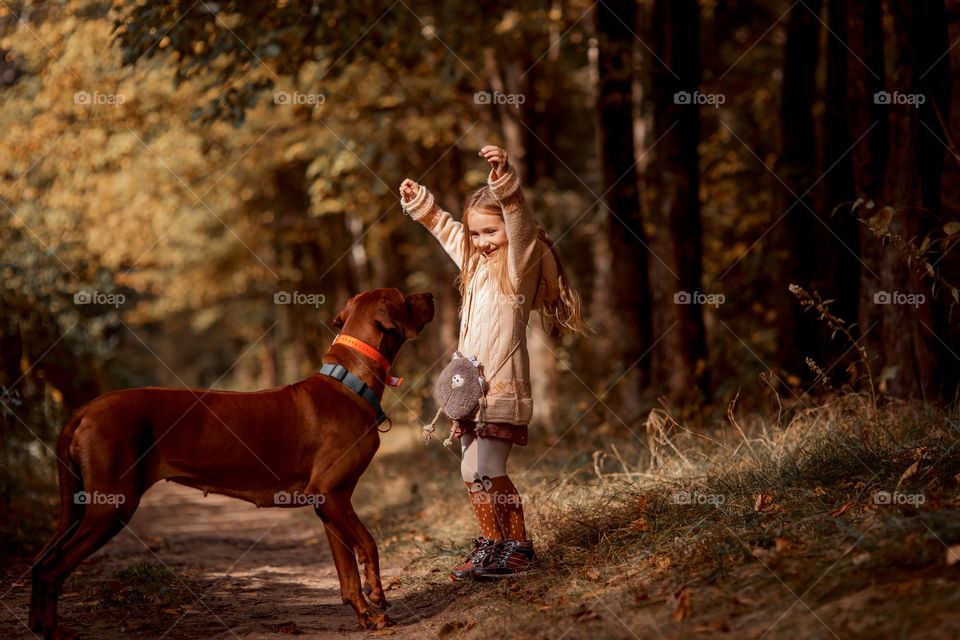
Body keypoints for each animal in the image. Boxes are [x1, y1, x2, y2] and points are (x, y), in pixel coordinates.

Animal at [29, 288, 436, 636]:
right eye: (403, 296)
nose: (432, 294)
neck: (351, 382)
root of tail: (84, 410)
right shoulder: (332, 495)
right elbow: (369, 543)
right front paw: (378, 597)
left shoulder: (330, 504)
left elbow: (347, 574)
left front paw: (367, 617)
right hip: (110, 506)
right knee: (53, 568)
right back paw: (52, 631)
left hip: (84, 505)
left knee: (41, 563)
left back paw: (37, 624)